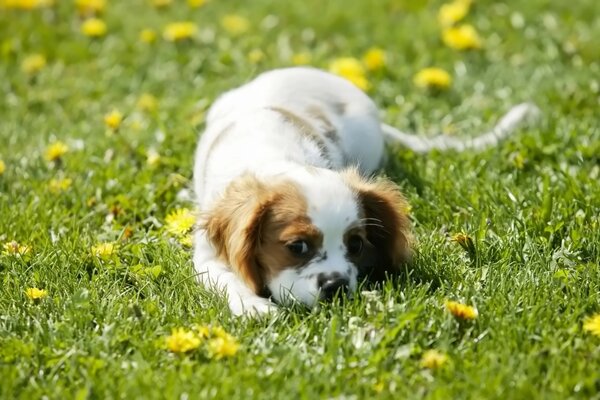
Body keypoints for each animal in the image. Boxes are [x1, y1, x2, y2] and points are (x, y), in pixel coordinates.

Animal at [193, 66, 540, 316]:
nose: (335, 285)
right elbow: (226, 278)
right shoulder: (206, 254)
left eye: (356, 244)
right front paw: (254, 306)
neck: (277, 155)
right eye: (297, 247)